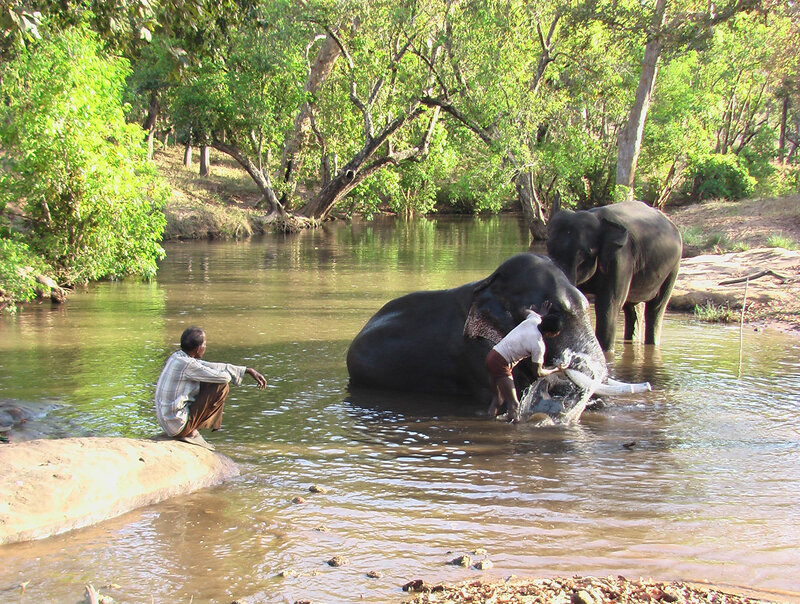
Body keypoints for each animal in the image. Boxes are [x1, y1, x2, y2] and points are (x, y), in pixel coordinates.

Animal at [546, 200, 683, 353]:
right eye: (548, 246)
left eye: (584, 253)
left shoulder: (621, 259)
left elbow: (607, 306)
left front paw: (606, 352)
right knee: (632, 309)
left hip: (673, 267)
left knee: (656, 307)